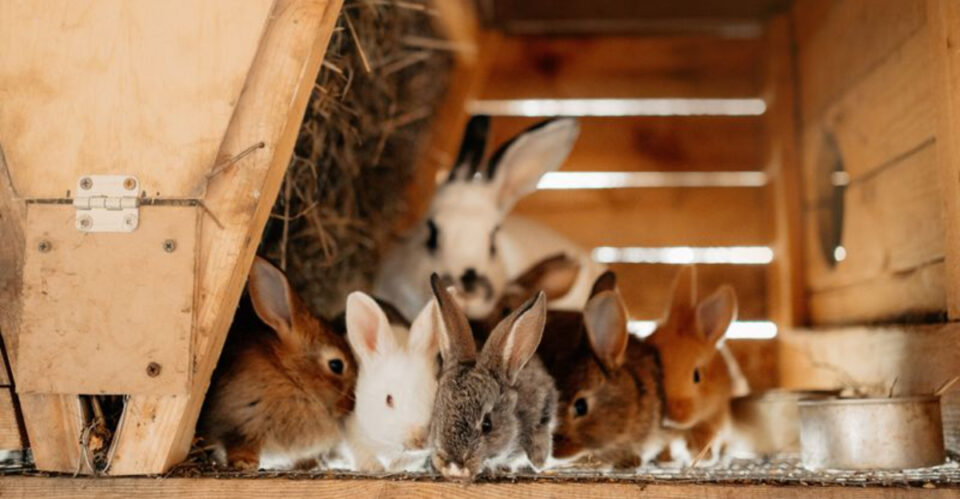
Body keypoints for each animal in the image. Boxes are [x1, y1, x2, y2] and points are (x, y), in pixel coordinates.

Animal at [199, 256, 357, 470]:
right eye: (336, 365)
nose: (351, 405)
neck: (289, 376)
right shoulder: (239, 422)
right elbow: (239, 444)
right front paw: (245, 463)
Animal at [646, 265, 743, 465]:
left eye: (697, 376)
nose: (672, 414)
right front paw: (666, 460)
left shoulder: (715, 419)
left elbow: (706, 437)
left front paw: (703, 456)